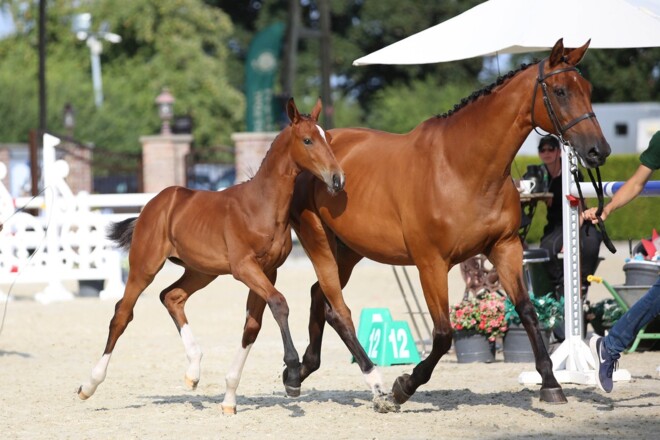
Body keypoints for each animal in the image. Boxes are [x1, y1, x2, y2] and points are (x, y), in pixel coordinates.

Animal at [77, 98, 345, 415]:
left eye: (327, 139)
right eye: (307, 140)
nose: (337, 179)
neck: (262, 206)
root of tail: (152, 205)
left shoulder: (268, 270)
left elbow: (252, 326)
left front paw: (229, 398)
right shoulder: (244, 268)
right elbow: (279, 303)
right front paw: (292, 375)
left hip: (202, 271)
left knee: (172, 296)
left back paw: (193, 372)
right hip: (145, 266)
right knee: (122, 314)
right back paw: (89, 385)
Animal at [241, 39, 606, 412]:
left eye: (588, 89)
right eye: (560, 91)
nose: (597, 151)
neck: (463, 167)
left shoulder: (505, 248)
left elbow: (528, 312)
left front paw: (551, 383)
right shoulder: (431, 264)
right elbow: (443, 334)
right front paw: (403, 385)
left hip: (349, 250)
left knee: (320, 297)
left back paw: (300, 371)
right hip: (319, 241)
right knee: (337, 309)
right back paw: (354, 381)